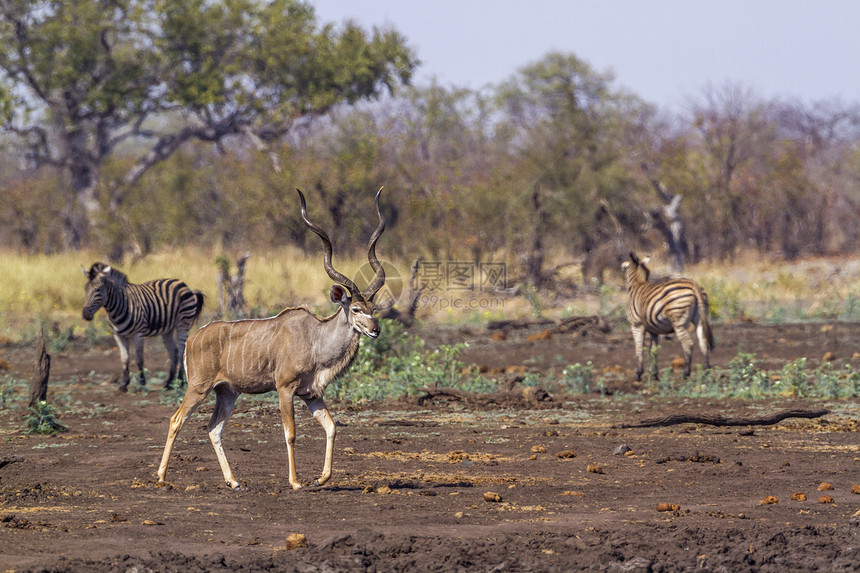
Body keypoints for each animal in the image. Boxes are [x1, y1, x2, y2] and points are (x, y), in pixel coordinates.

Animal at [157, 187, 386, 488]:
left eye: (374, 309)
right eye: (356, 309)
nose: (375, 330)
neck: (315, 339)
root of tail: (193, 339)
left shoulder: (311, 394)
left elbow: (331, 427)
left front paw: (322, 478)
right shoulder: (285, 388)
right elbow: (290, 433)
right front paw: (296, 482)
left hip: (227, 392)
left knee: (214, 428)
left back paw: (233, 481)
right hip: (198, 387)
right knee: (176, 420)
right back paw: (161, 477)